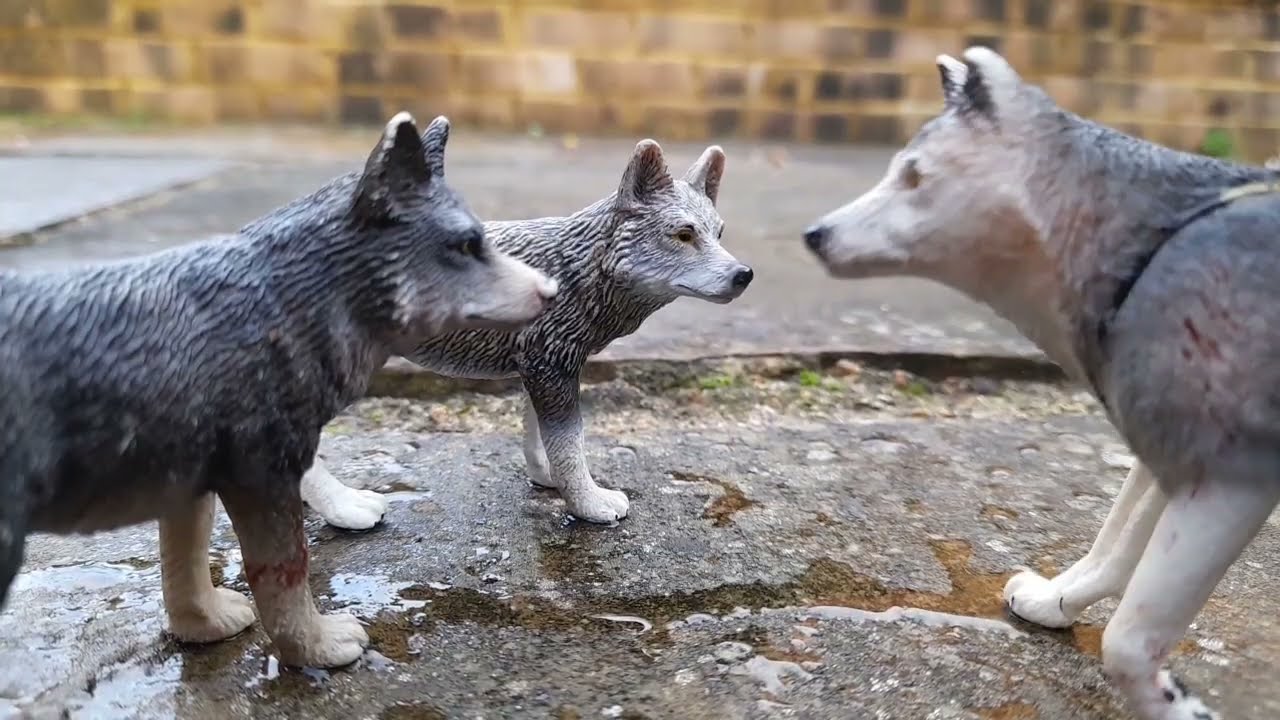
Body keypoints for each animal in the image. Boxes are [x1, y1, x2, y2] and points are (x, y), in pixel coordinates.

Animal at [0, 112, 558, 668]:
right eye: (467, 245)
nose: (551, 290)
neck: (284, 304)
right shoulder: (259, 477)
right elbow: (283, 576)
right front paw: (317, 648)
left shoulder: (190, 478)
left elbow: (184, 564)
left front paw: (202, 627)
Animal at [301, 139, 753, 525]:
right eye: (683, 234)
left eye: (719, 234)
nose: (743, 274)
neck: (575, 270)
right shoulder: (551, 368)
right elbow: (570, 447)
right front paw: (589, 504)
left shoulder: (540, 367)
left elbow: (541, 439)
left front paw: (546, 478)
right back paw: (344, 508)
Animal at [802, 46, 1279, 720]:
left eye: (914, 177)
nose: (814, 236)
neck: (1145, 252)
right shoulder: (1171, 453)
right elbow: (1113, 549)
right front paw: (1053, 602)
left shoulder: (1233, 481)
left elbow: (1127, 639)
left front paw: (1177, 707)